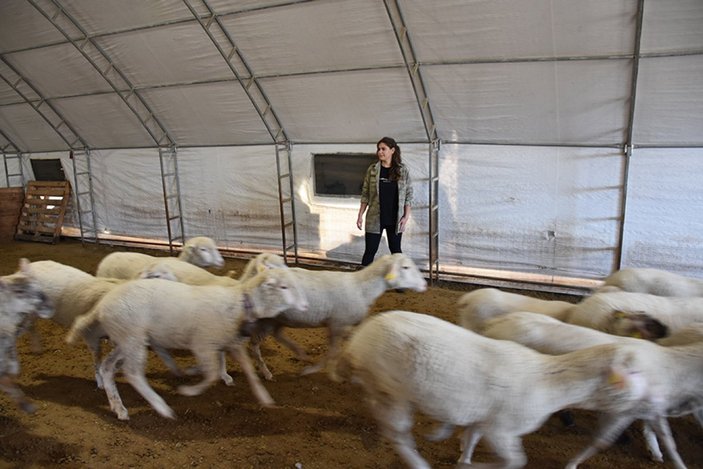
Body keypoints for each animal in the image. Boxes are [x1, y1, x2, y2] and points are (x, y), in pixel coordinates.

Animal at [65, 266, 308, 420]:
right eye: (284, 287)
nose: (306, 305)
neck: (240, 303)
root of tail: (104, 302)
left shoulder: (231, 343)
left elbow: (248, 371)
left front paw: (265, 398)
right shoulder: (203, 344)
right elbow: (211, 373)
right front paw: (190, 389)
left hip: (127, 339)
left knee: (107, 367)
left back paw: (119, 408)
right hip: (132, 338)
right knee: (133, 373)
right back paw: (161, 407)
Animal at [248, 252, 426, 380]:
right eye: (405, 267)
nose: (424, 284)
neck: (362, 288)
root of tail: (259, 273)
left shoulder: (344, 325)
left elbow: (345, 347)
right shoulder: (337, 324)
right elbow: (333, 352)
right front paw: (325, 373)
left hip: (279, 319)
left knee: (277, 334)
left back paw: (300, 353)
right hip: (267, 319)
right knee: (254, 346)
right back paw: (266, 372)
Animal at [336, 308, 676, 466]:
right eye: (634, 371)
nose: (660, 398)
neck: (548, 382)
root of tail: (361, 335)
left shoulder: (485, 418)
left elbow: (471, 438)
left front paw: (464, 460)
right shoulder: (502, 429)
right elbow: (516, 461)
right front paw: (475, 465)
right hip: (389, 388)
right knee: (398, 434)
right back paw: (418, 461)